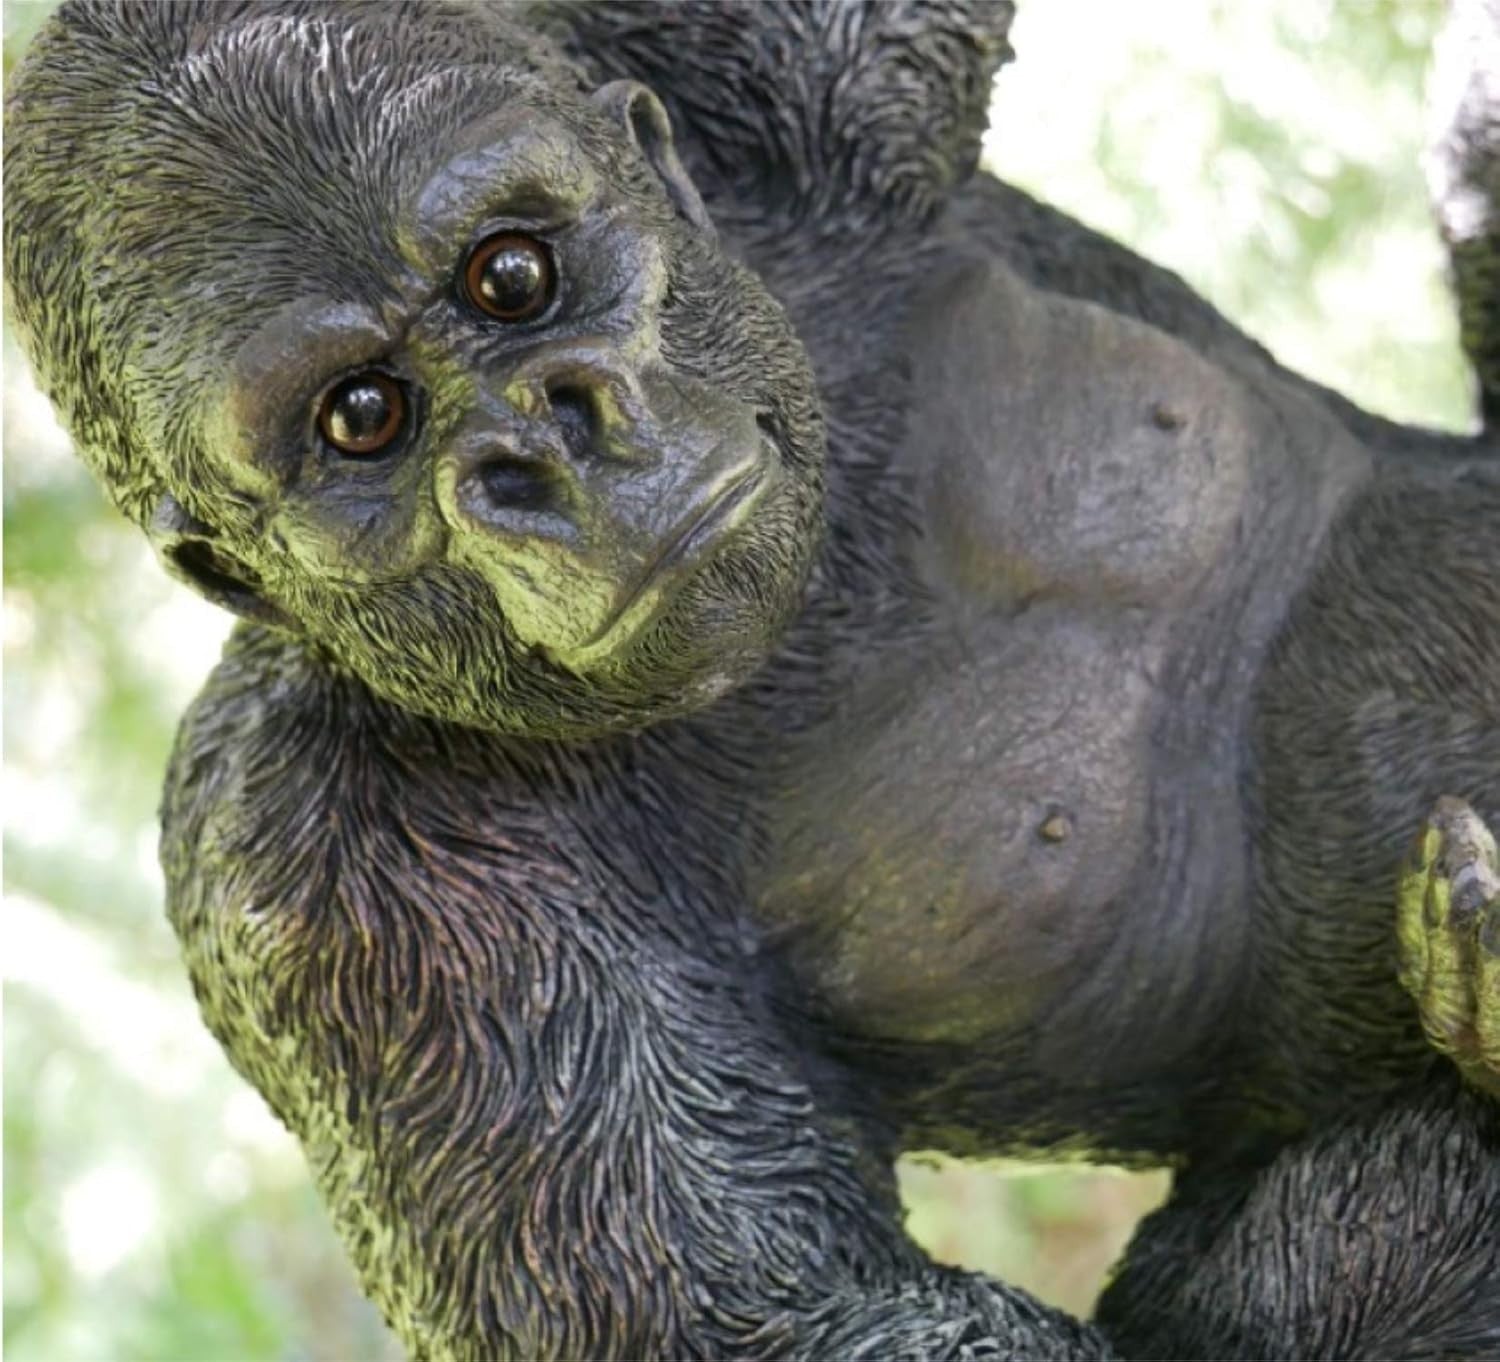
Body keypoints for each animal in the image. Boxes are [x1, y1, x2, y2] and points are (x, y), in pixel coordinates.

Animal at [5, 2, 1498, 1359]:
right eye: (361, 416)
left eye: (511, 277)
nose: (549, 449)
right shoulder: (307, 870)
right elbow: (801, 1316)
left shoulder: (799, 125)